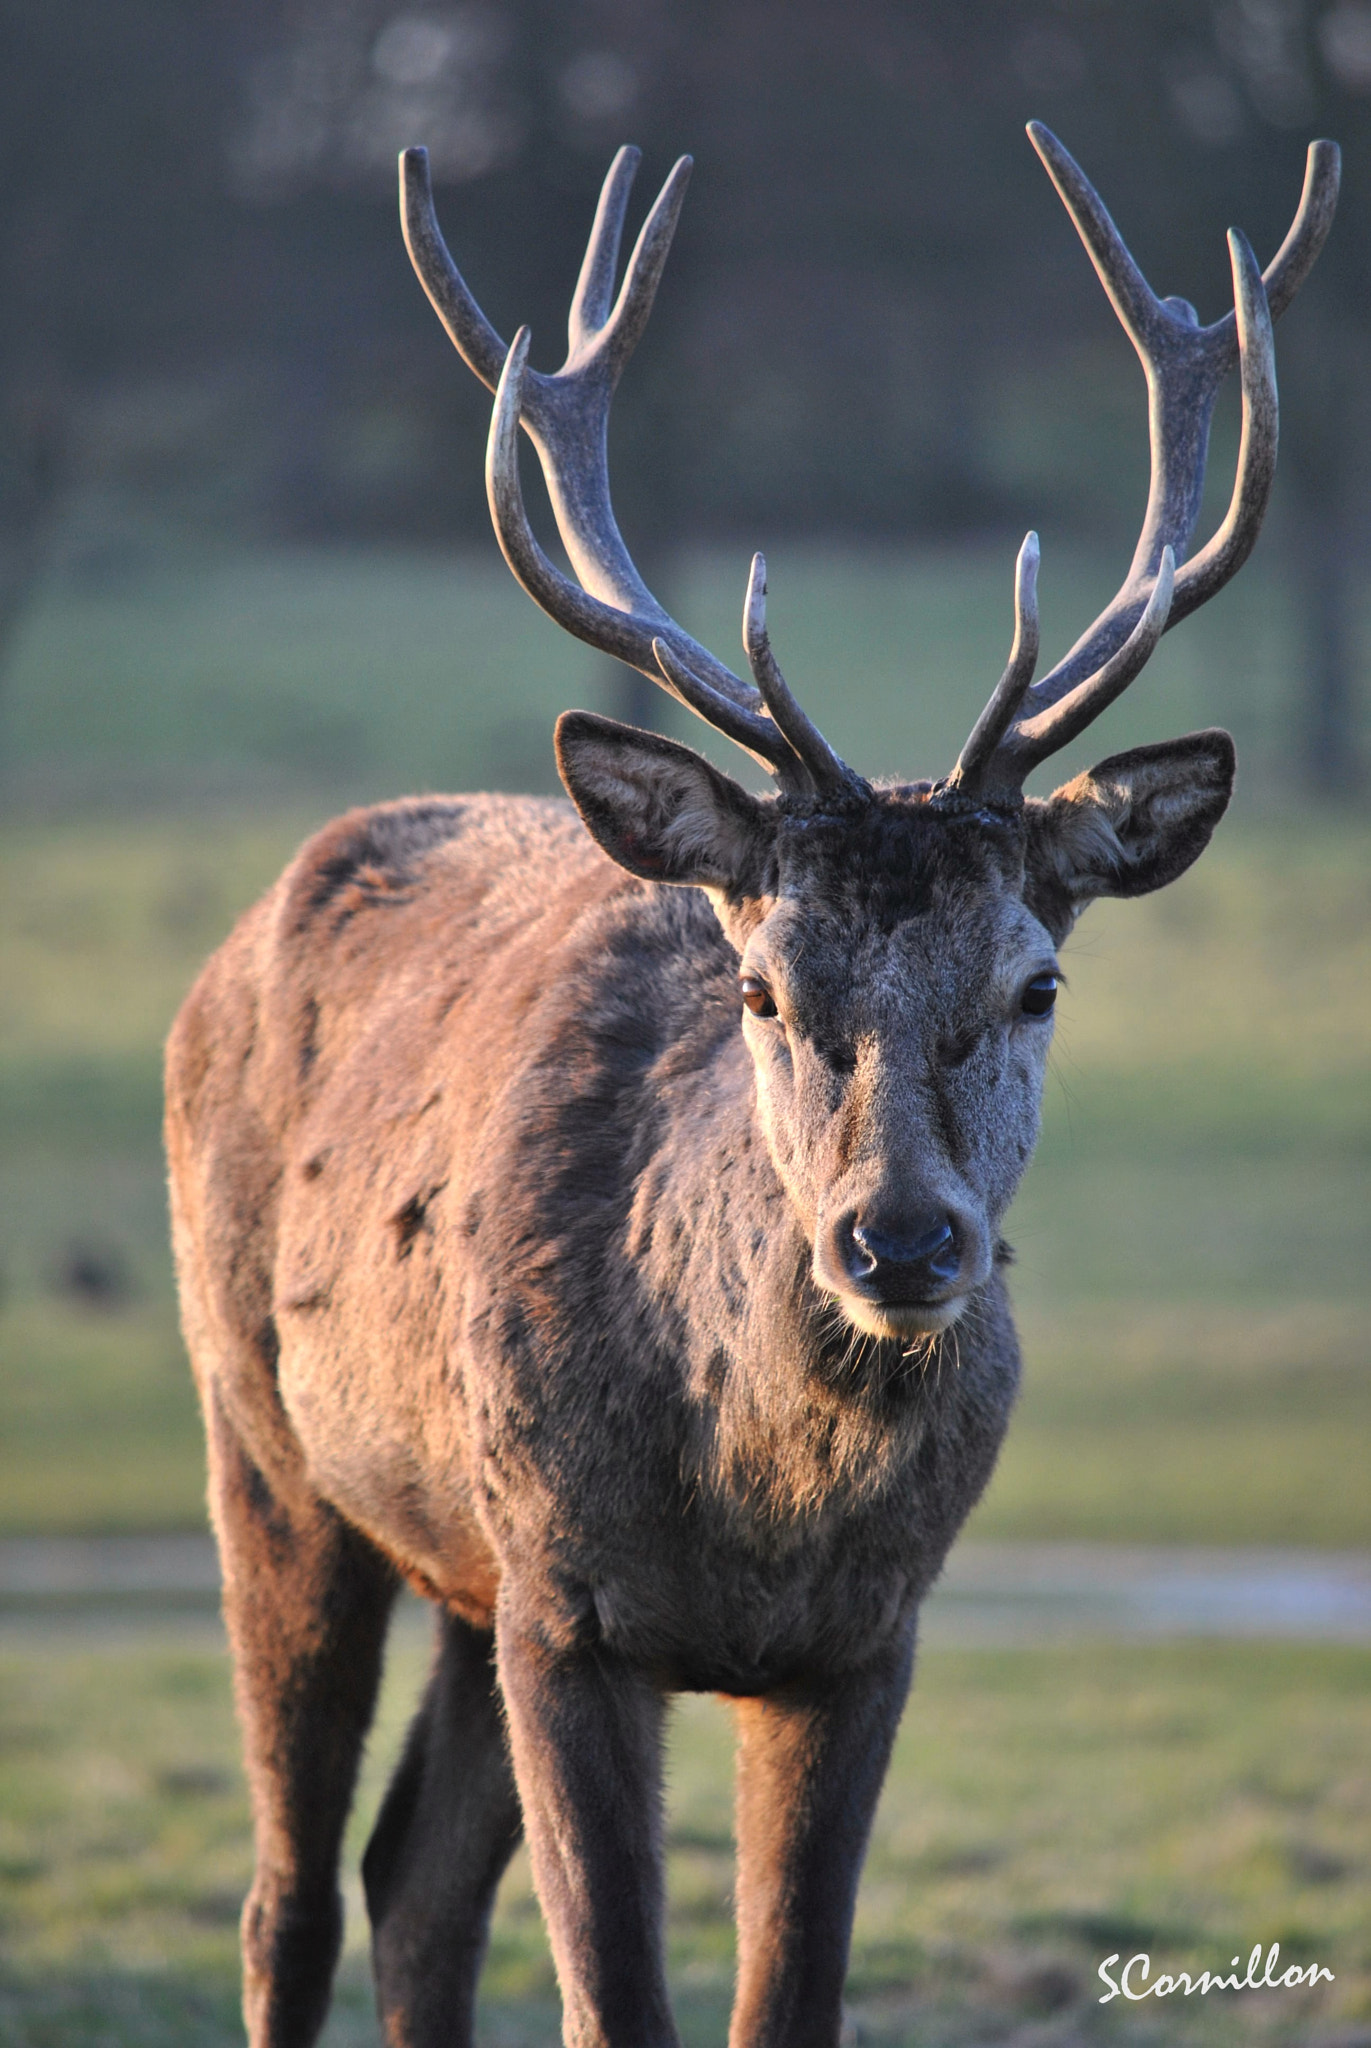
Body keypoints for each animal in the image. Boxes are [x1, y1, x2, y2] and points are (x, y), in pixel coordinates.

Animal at [164, 123, 1337, 2048]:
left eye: (1036, 980)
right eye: (763, 986)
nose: (901, 1241)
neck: (756, 1512)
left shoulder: (865, 1640)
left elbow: (784, 1995)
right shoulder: (566, 1602)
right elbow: (613, 2001)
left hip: (459, 1572)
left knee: (412, 1882)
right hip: (267, 1444)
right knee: (289, 1897)